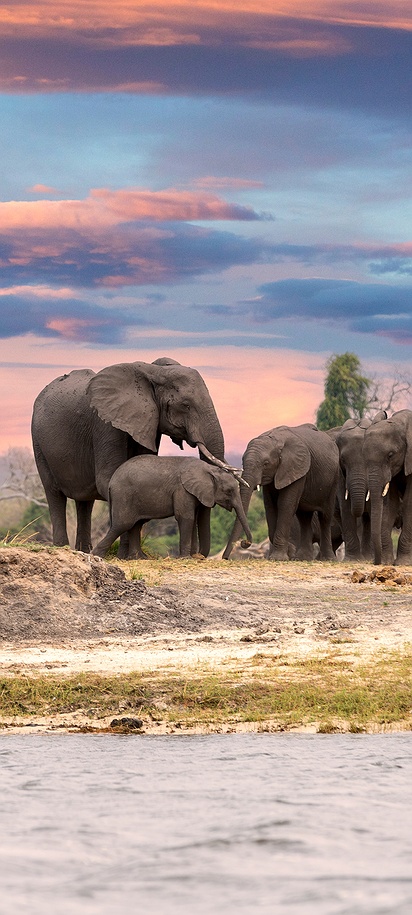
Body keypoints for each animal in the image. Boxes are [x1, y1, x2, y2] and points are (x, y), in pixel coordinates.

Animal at [32, 358, 238, 556]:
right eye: (186, 405)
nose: (199, 555)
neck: (153, 372)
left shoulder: (149, 423)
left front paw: (130, 555)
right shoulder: (105, 423)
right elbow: (108, 479)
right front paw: (127, 555)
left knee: (84, 503)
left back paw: (83, 551)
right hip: (39, 443)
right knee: (54, 494)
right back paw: (62, 548)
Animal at [92, 455, 252, 559]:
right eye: (229, 491)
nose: (244, 542)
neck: (209, 469)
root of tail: (111, 482)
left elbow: (192, 519)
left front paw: (191, 557)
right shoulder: (182, 490)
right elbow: (186, 518)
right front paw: (185, 558)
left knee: (136, 525)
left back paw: (140, 558)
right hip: (124, 496)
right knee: (122, 524)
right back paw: (97, 556)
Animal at [223, 423, 339, 561]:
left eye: (266, 463)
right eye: (242, 461)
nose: (244, 542)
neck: (276, 441)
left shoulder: (296, 468)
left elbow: (285, 505)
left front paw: (279, 557)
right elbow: (270, 506)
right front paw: (288, 553)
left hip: (333, 479)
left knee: (325, 517)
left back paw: (328, 559)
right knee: (304, 517)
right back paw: (302, 558)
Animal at [363, 409, 412, 565]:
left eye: (390, 455)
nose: (375, 562)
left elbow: (408, 503)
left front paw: (403, 563)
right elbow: (390, 504)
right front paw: (386, 562)